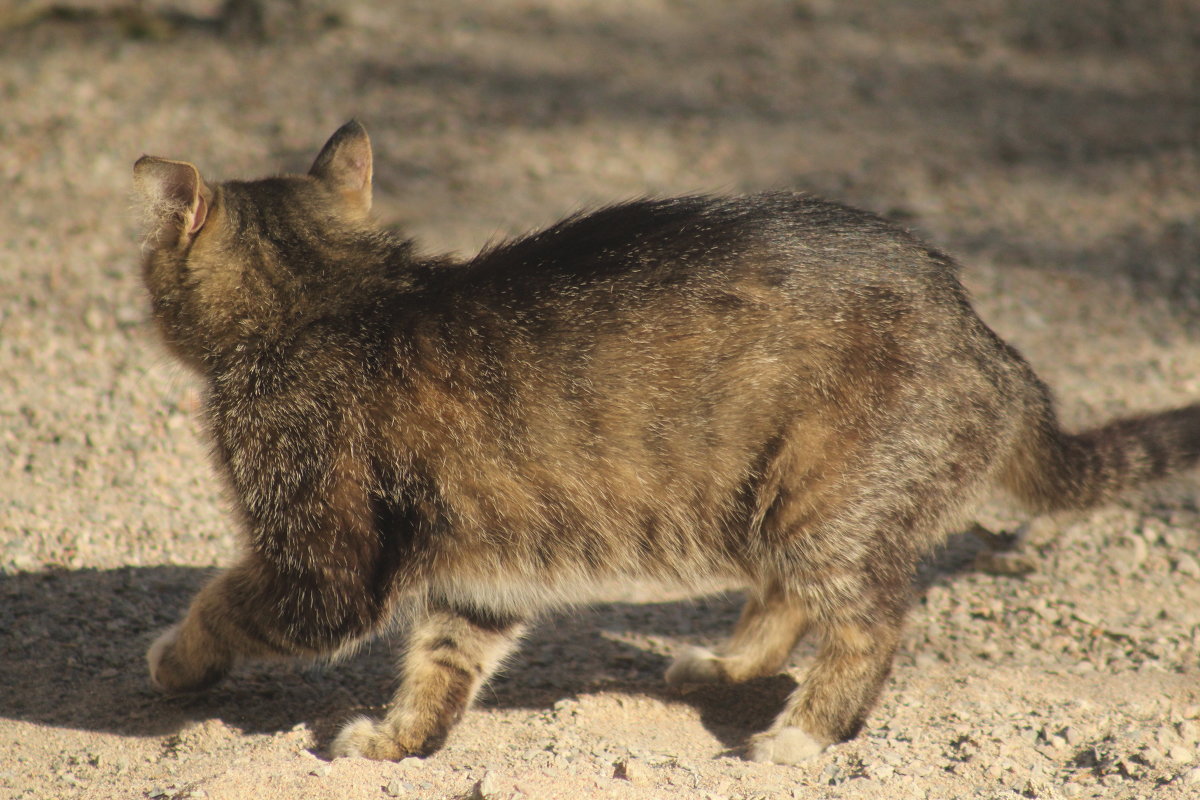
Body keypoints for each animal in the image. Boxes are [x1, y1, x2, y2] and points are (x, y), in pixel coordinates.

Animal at [133, 120, 1200, 762]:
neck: (325, 298)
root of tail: (985, 337)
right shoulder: (477, 577)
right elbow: (441, 668)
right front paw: (402, 743)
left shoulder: (325, 571)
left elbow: (224, 600)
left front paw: (179, 658)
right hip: (774, 512)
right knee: (786, 604)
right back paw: (728, 667)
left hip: (825, 511)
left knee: (870, 625)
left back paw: (801, 739)